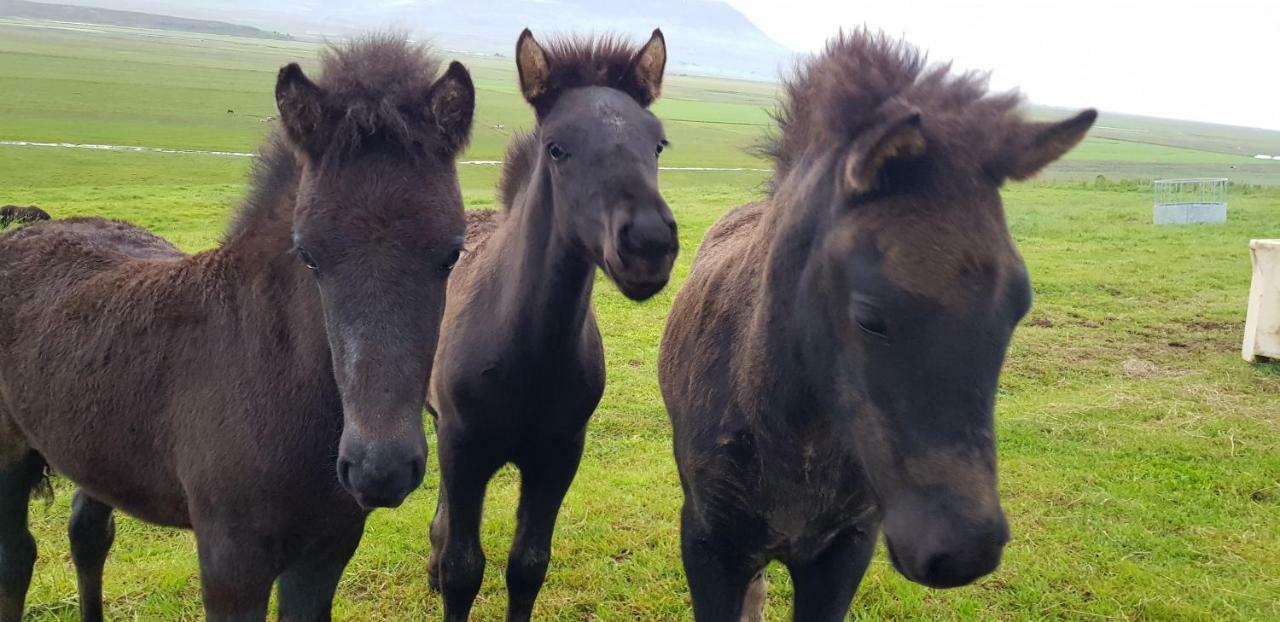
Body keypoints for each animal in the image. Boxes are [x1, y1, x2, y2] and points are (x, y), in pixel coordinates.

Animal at [0, 35, 478, 622]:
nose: (378, 469)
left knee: (88, 532)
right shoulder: (231, 561)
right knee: (17, 556)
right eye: (309, 255)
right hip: (8, 454)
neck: (270, 372)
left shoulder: (326, 553)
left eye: (451, 254)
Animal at [424, 29, 680, 622]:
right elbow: (463, 568)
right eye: (556, 148)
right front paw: (445, 573)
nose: (649, 243)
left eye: (658, 144)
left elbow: (527, 565)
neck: (527, 354)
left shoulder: (560, 455)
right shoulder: (463, 449)